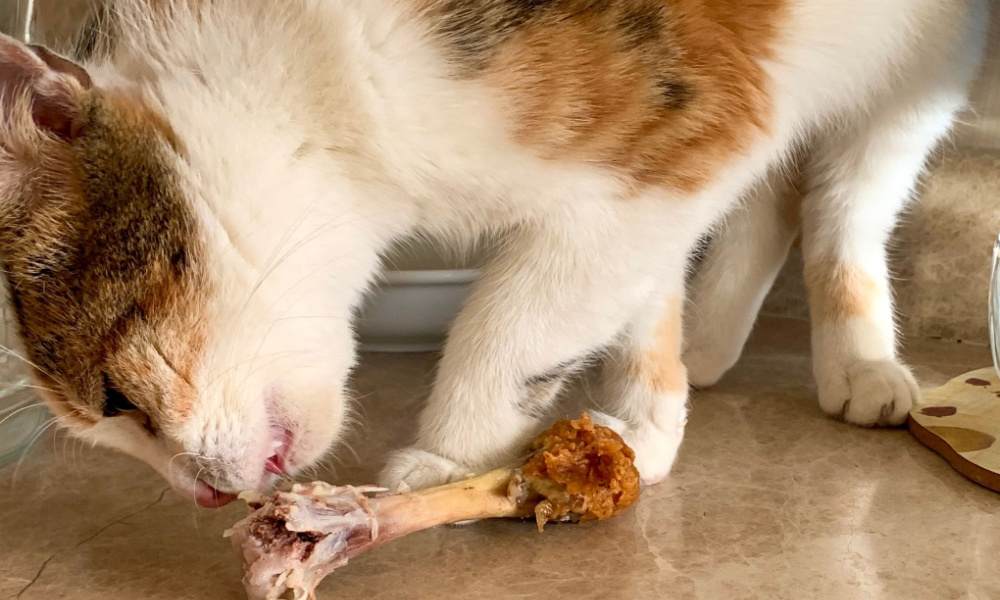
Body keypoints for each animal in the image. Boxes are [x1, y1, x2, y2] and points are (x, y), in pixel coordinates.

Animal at [0, 1, 988, 506]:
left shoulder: (675, 121)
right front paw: (647, 425)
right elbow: (642, 289)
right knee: (780, 181)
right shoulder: (677, 157)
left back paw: (862, 364)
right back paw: (711, 341)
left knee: (847, 198)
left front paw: (448, 461)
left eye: (118, 396)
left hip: (922, 61)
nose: (203, 495)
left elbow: (515, 321)